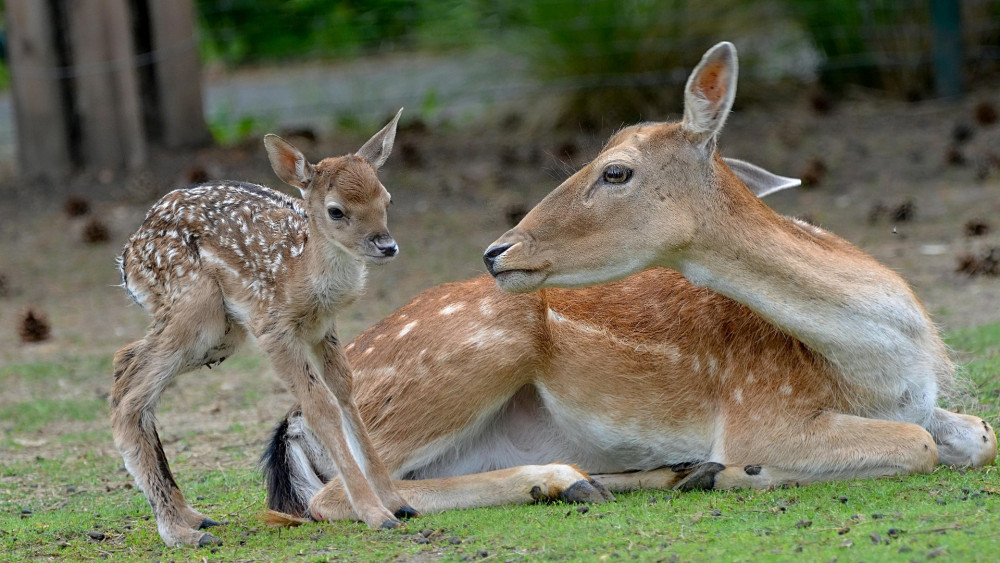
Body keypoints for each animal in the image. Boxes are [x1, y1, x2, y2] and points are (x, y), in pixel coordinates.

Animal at [112, 110, 420, 547]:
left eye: (387, 198)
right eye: (336, 210)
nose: (386, 245)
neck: (300, 272)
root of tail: (127, 256)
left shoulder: (324, 328)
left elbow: (346, 393)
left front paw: (397, 502)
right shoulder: (272, 327)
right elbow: (319, 405)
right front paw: (376, 515)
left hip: (218, 332)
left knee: (124, 361)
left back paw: (195, 518)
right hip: (196, 307)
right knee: (129, 394)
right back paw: (179, 532)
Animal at [261, 42, 997, 525]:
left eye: (615, 171)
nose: (498, 251)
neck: (881, 366)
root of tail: (290, 425)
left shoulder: (923, 403)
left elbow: (979, 434)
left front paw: (713, 472)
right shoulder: (763, 412)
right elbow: (919, 446)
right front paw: (745, 471)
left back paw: (664, 473)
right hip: (470, 354)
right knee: (345, 494)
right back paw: (568, 482)